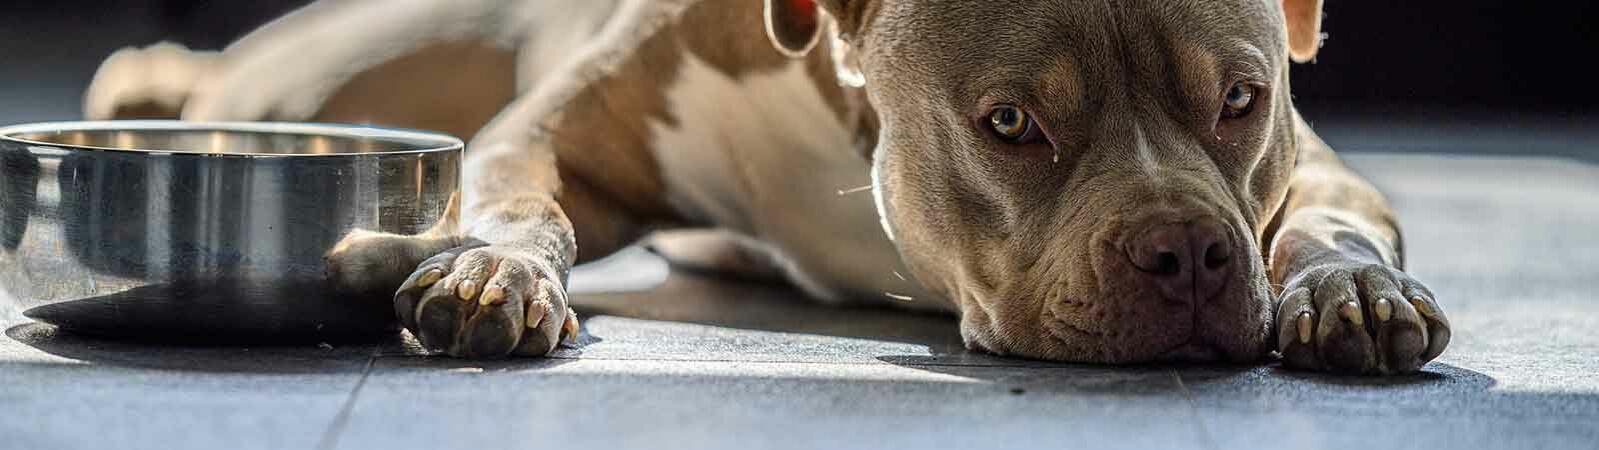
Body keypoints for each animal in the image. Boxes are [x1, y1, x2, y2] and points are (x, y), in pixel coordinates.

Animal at [81, 0, 1451, 371]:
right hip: (326, 74)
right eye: (1010, 125)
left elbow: (1325, 218)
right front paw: (495, 272)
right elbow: (525, 200)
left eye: (1240, 101)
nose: (1190, 256)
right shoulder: (556, 132)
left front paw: (1349, 291)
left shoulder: (1315, 163)